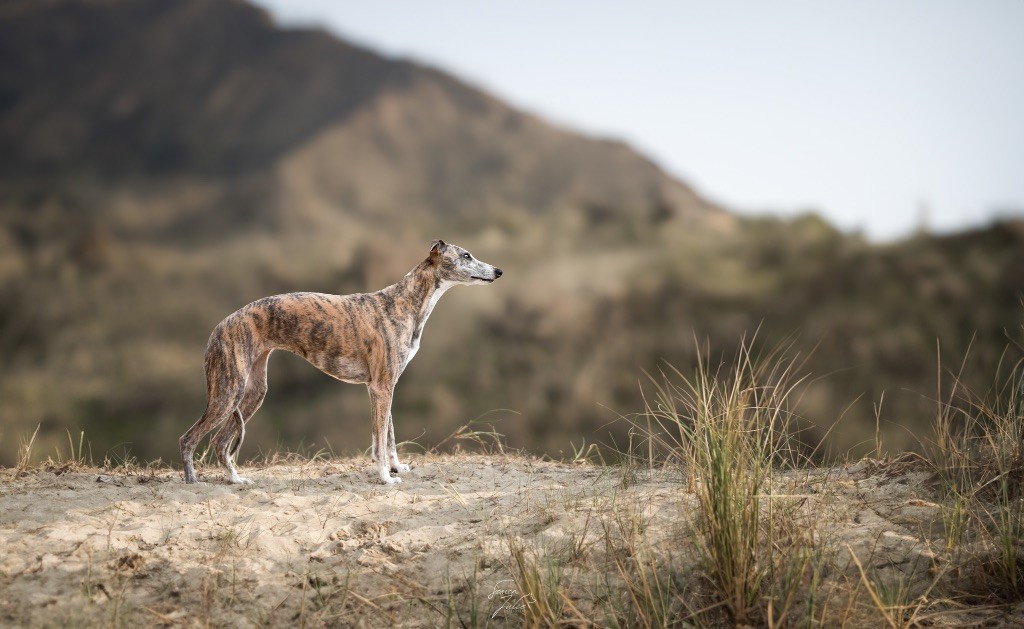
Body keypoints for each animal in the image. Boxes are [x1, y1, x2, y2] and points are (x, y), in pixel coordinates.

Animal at [182, 241, 505, 487]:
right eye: (466, 255)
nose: (499, 270)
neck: (404, 303)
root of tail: (220, 325)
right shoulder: (381, 387)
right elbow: (379, 441)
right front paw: (386, 478)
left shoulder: (385, 386)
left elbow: (389, 435)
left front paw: (397, 468)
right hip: (228, 392)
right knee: (189, 438)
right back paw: (193, 481)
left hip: (253, 392)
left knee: (220, 442)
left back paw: (236, 480)